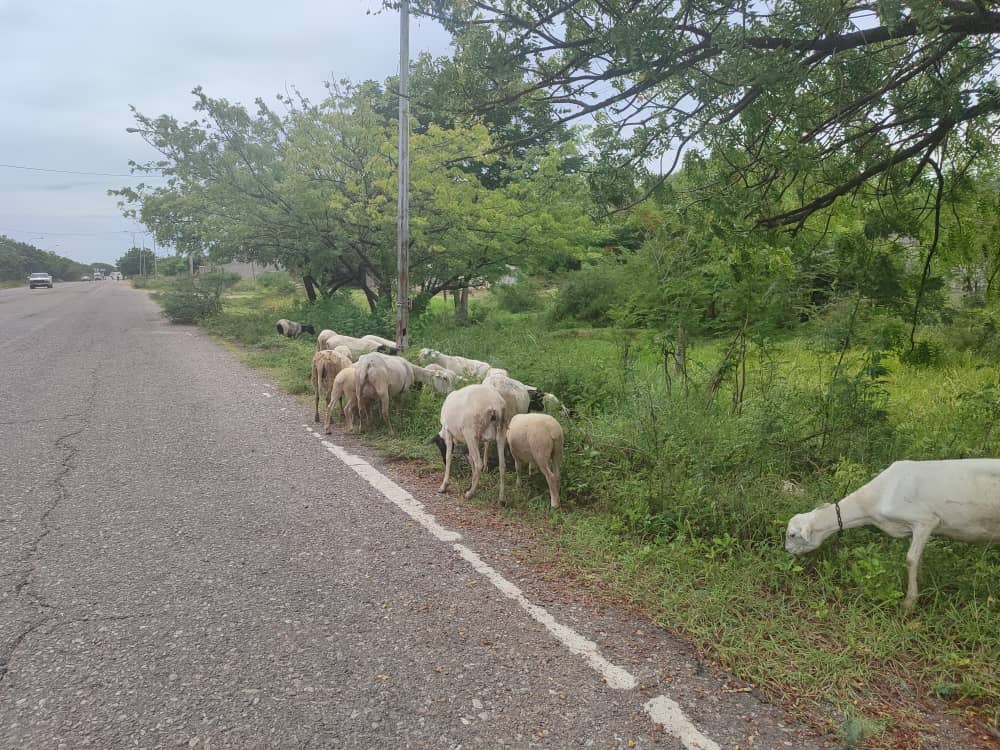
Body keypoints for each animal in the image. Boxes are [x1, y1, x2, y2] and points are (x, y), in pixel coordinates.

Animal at [784, 462, 1000, 612]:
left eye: (792, 535)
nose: (787, 551)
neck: (870, 503)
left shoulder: (925, 521)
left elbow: (911, 560)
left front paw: (909, 603)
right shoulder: (918, 530)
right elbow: (919, 559)